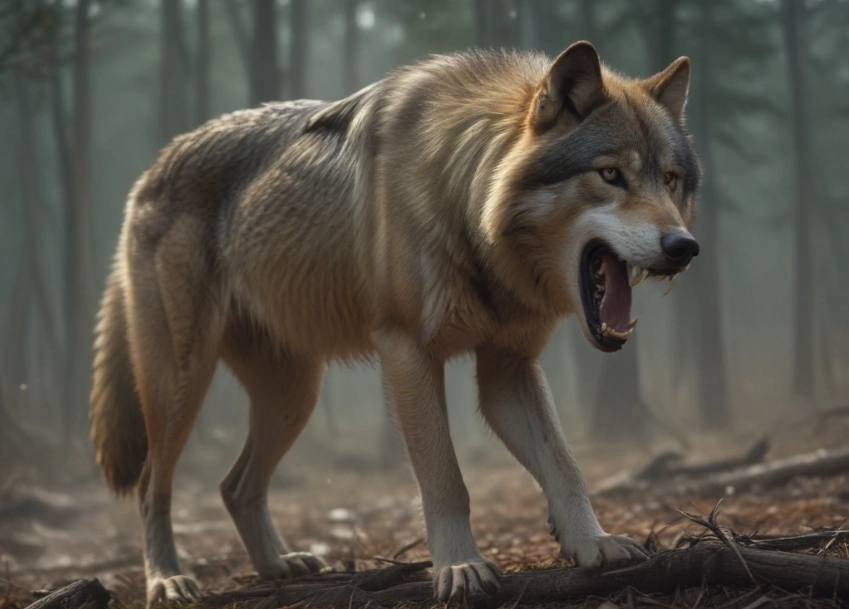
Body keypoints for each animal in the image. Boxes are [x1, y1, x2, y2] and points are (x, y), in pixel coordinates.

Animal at [89, 41, 700, 605]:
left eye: (671, 179)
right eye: (611, 174)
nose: (685, 247)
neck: (463, 198)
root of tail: (147, 174)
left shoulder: (507, 368)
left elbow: (566, 464)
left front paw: (593, 543)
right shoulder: (407, 353)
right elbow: (446, 479)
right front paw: (460, 567)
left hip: (293, 395)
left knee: (234, 485)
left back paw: (278, 567)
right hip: (181, 385)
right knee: (151, 487)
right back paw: (168, 580)